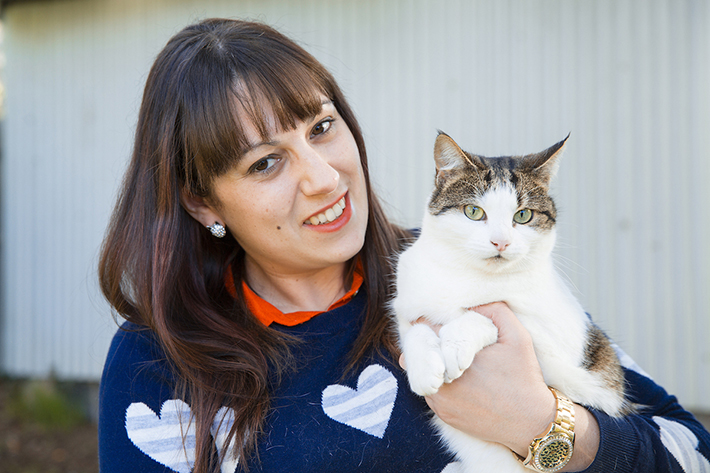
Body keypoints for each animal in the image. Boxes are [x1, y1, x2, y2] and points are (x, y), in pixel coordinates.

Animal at [392, 131, 632, 470]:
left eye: (523, 215)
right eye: (473, 211)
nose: (501, 242)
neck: (471, 276)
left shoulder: (557, 348)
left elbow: (492, 315)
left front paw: (455, 342)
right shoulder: (407, 305)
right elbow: (415, 328)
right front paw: (424, 365)